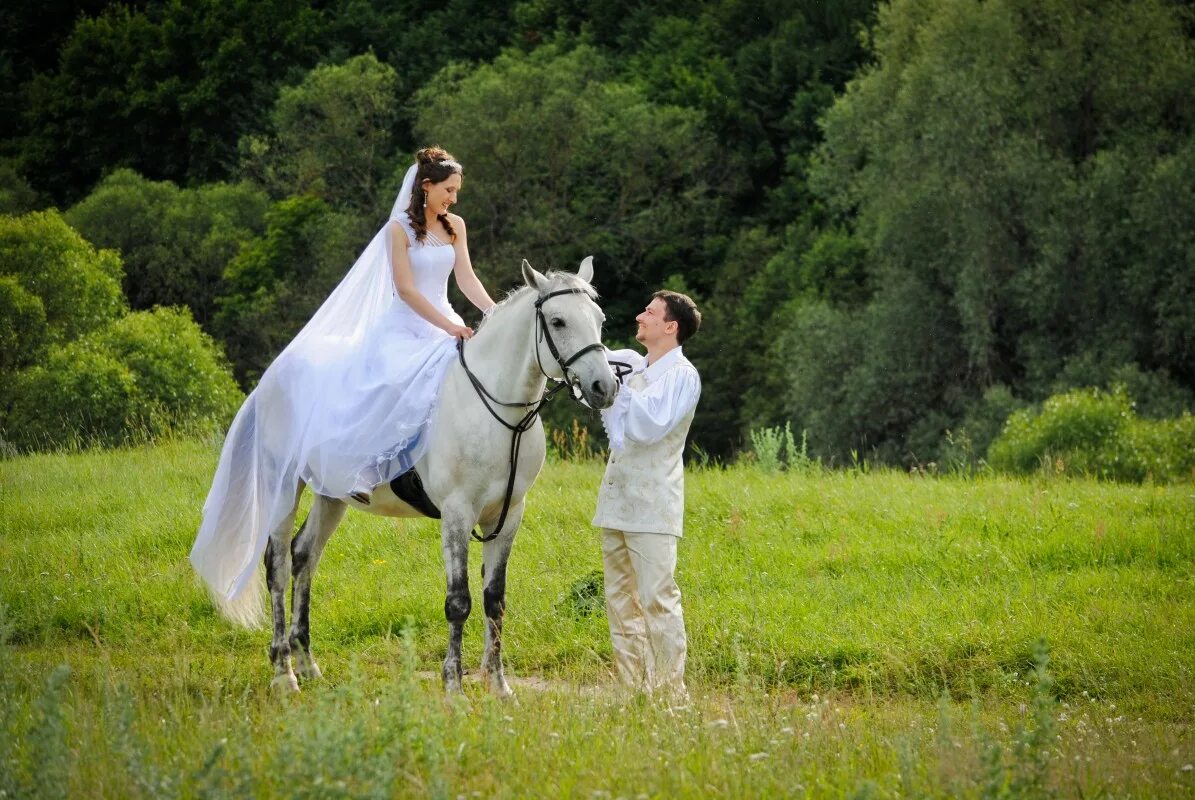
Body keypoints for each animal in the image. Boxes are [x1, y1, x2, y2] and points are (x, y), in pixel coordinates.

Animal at [243, 260, 616, 693]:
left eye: (599, 319)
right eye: (557, 321)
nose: (605, 387)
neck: (496, 413)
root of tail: (274, 376)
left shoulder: (508, 516)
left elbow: (494, 599)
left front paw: (499, 686)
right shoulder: (457, 514)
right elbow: (459, 601)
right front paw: (453, 685)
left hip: (330, 495)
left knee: (305, 556)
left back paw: (307, 664)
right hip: (284, 486)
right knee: (278, 566)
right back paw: (284, 674)